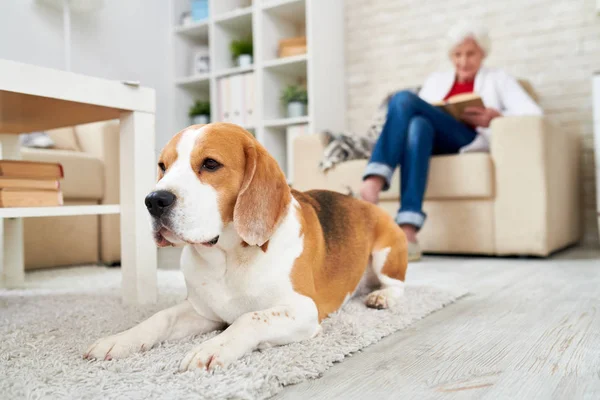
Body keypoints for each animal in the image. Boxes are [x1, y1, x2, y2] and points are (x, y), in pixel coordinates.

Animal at [84, 123, 410, 370]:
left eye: (210, 164)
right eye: (163, 167)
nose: (153, 200)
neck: (227, 258)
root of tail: (367, 204)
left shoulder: (304, 310)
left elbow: (249, 317)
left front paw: (213, 347)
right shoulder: (203, 312)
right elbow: (160, 317)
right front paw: (120, 339)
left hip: (386, 254)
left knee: (397, 284)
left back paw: (382, 297)